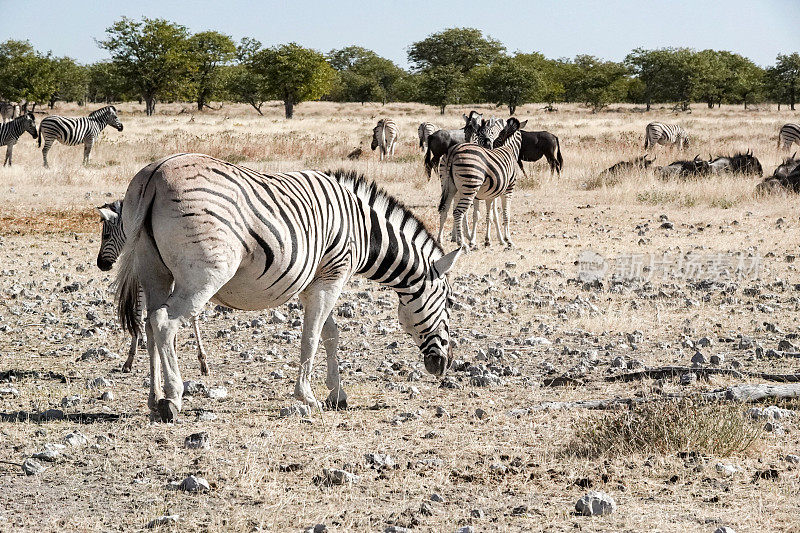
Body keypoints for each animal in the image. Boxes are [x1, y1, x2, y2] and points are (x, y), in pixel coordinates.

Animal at [114, 153, 462, 420]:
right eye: (448, 303)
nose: (444, 365)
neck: (362, 229)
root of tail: (155, 174)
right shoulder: (332, 277)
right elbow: (311, 337)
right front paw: (307, 397)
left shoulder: (319, 281)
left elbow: (330, 334)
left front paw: (337, 394)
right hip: (204, 276)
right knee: (164, 322)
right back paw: (172, 399)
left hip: (154, 271)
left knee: (149, 324)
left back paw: (154, 399)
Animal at [438, 118, 524, 247]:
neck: (507, 147)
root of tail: (453, 151)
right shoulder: (509, 188)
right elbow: (505, 213)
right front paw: (508, 239)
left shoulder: (490, 194)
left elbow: (489, 214)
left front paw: (488, 239)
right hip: (470, 186)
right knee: (458, 212)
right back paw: (462, 243)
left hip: (449, 186)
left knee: (445, 209)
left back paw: (441, 240)